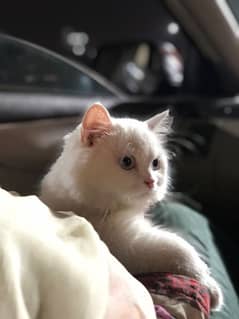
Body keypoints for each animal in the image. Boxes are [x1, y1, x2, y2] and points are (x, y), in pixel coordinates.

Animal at [40, 102, 222, 310]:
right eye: (127, 162)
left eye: (155, 163)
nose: (152, 182)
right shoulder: (132, 247)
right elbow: (182, 250)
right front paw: (211, 288)